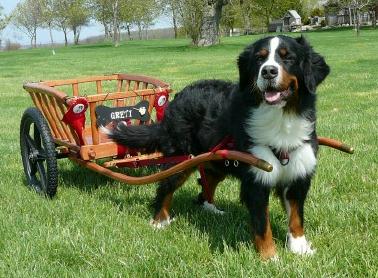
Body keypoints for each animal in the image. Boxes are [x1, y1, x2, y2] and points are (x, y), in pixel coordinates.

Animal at [106, 35, 328, 260]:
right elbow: (262, 225)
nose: (268, 71)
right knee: (165, 186)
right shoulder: (256, 180)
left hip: (216, 160)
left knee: (207, 182)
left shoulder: (299, 175)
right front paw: (269, 258)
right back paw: (160, 220)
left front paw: (300, 248)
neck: (281, 120)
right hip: (181, 159)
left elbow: (296, 218)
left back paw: (212, 210)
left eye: (288, 58)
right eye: (259, 59)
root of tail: (178, 97)